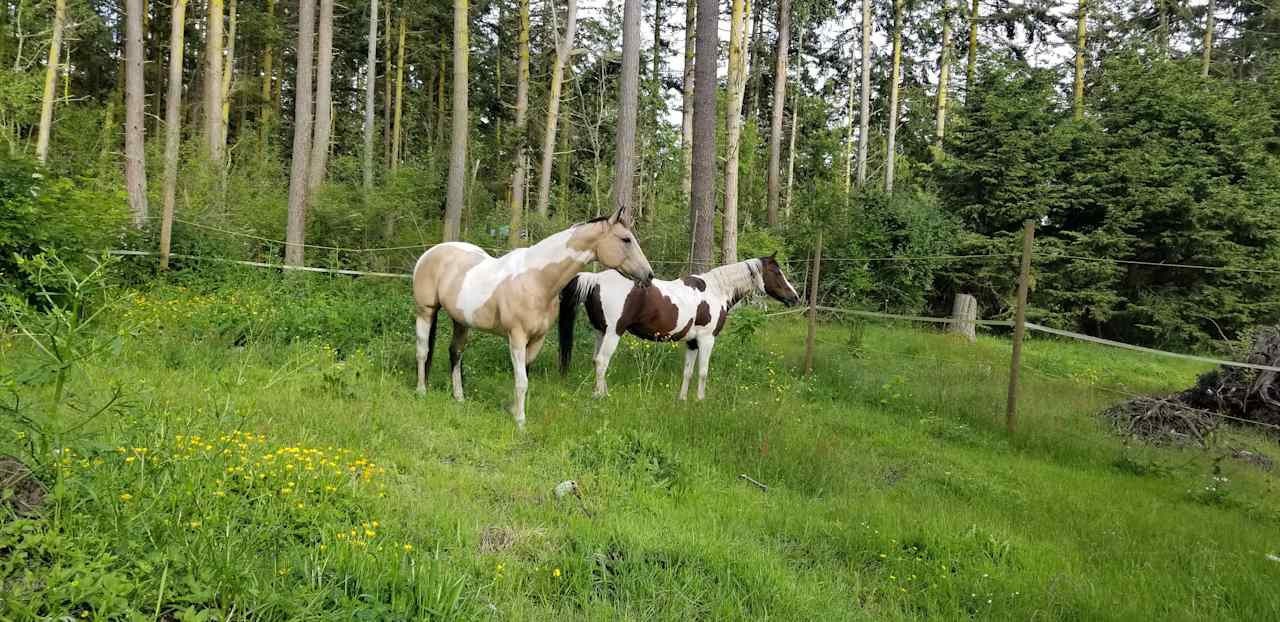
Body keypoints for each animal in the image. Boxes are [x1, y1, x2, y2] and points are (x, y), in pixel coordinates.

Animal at [412, 211, 655, 430]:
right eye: (626, 239)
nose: (649, 275)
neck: (536, 279)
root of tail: (431, 253)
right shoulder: (517, 337)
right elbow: (522, 381)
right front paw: (520, 422)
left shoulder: (537, 339)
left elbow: (524, 376)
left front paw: (514, 410)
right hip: (425, 312)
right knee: (423, 351)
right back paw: (421, 391)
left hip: (461, 321)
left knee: (455, 353)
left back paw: (459, 397)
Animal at [560, 254, 798, 401]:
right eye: (777, 273)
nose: (794, 298)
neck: (716, 290)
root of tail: (596, 278)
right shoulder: (707, 340)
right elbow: (703, 372)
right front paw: (700, 401)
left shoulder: (692, 343)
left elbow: (688, 372)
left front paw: (682, 399)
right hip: (612, 333)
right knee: (602, 361)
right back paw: (601, 396)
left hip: (601, 331)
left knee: (596, 360)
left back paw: (598, 392)